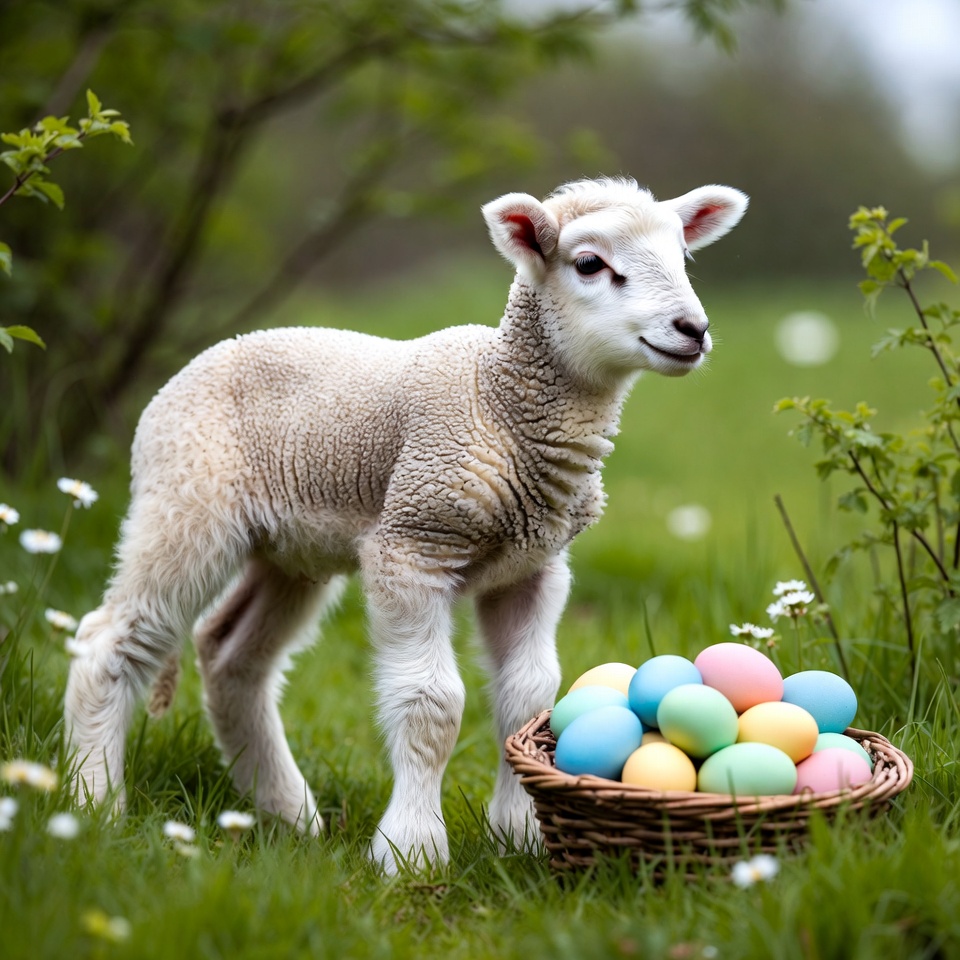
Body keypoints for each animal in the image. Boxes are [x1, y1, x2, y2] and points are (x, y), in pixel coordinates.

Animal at [64, 176, 747, 872]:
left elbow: (529, 696)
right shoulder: (414, 543)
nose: (693, 329)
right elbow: (432, 704)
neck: (500, 400)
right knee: (108, 640)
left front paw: (523, 834)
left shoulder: (532, 567)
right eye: (588, 264)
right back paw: (93, 803)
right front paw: (412, 850)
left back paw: (288, 813)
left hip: (290, 551)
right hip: (186, 500)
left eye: (682, 257)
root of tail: (205, 360)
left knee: (232, 657)